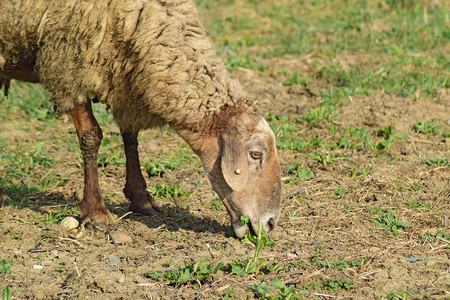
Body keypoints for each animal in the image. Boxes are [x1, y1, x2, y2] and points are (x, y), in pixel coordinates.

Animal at [0, 0, 282, 239]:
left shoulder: (125, 77)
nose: (270, 223)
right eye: (256, 154)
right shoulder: (68, 64)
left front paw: (140, 198)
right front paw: (96, 212)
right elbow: (91, 136)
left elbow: (130, 136)